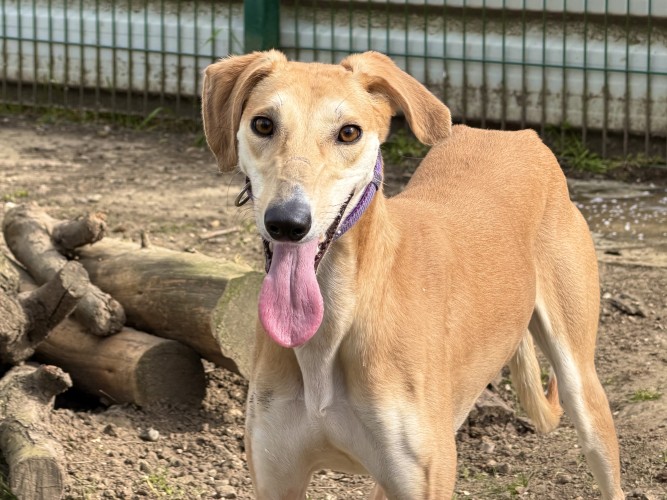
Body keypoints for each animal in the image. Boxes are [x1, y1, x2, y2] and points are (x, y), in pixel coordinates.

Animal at [201, 50, 623, 499]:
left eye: (349, 132)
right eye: (263, 124)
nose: (287, 222)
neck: (335, 325)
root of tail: (520, 135)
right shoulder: (277, 478)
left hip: (583, 390)